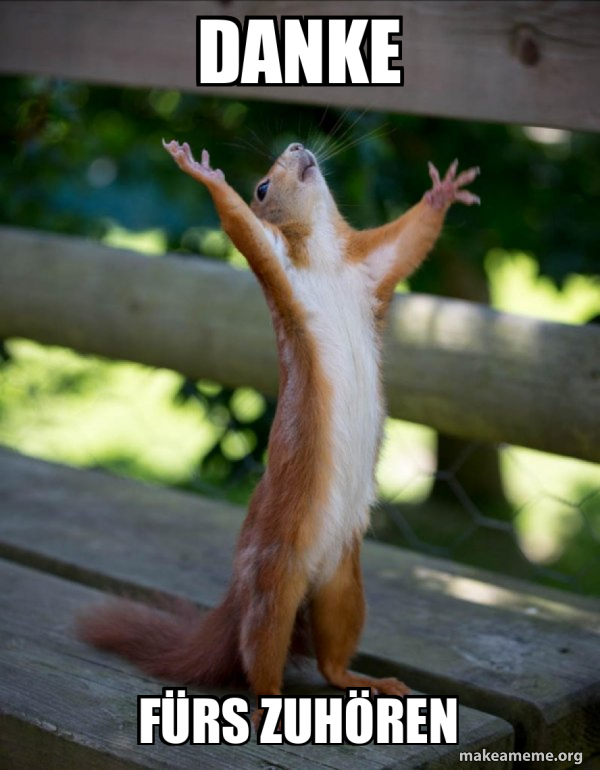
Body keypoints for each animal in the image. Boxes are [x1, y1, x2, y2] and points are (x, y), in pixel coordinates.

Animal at [78, 138, 479, 725]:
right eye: (262, 187)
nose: (296, 146)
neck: (327, 258)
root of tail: (239, 595)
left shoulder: (371, 267)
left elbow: (410, 240)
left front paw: (443, 192)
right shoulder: (277, 265)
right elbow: (240, 225)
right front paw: (204, 173)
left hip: (343, 587)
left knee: (331, 660)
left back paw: (368, 680)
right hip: (273, 584)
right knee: (259, 658)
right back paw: (269, 703)